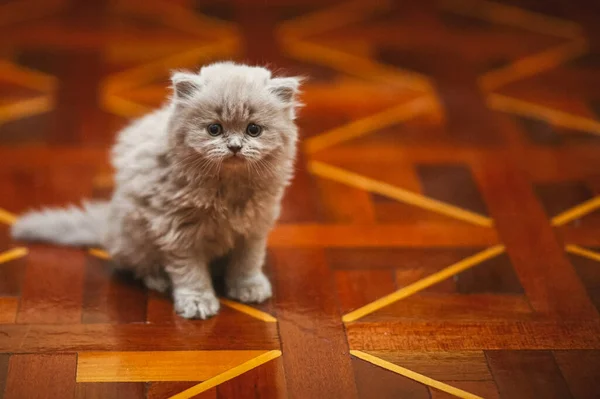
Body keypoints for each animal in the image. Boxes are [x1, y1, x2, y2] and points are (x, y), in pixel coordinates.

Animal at [12, 61, 304, 318]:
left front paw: (248, 287)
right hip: (134, 237)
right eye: (214, 129)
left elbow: (247, 262)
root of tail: (106, 224)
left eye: (253, 130)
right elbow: (190, 272)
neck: (227, 190)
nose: (234, 147)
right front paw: (197, 302)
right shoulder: (178, 230)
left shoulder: (254, 227)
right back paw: (159, 280)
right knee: (138, 265)